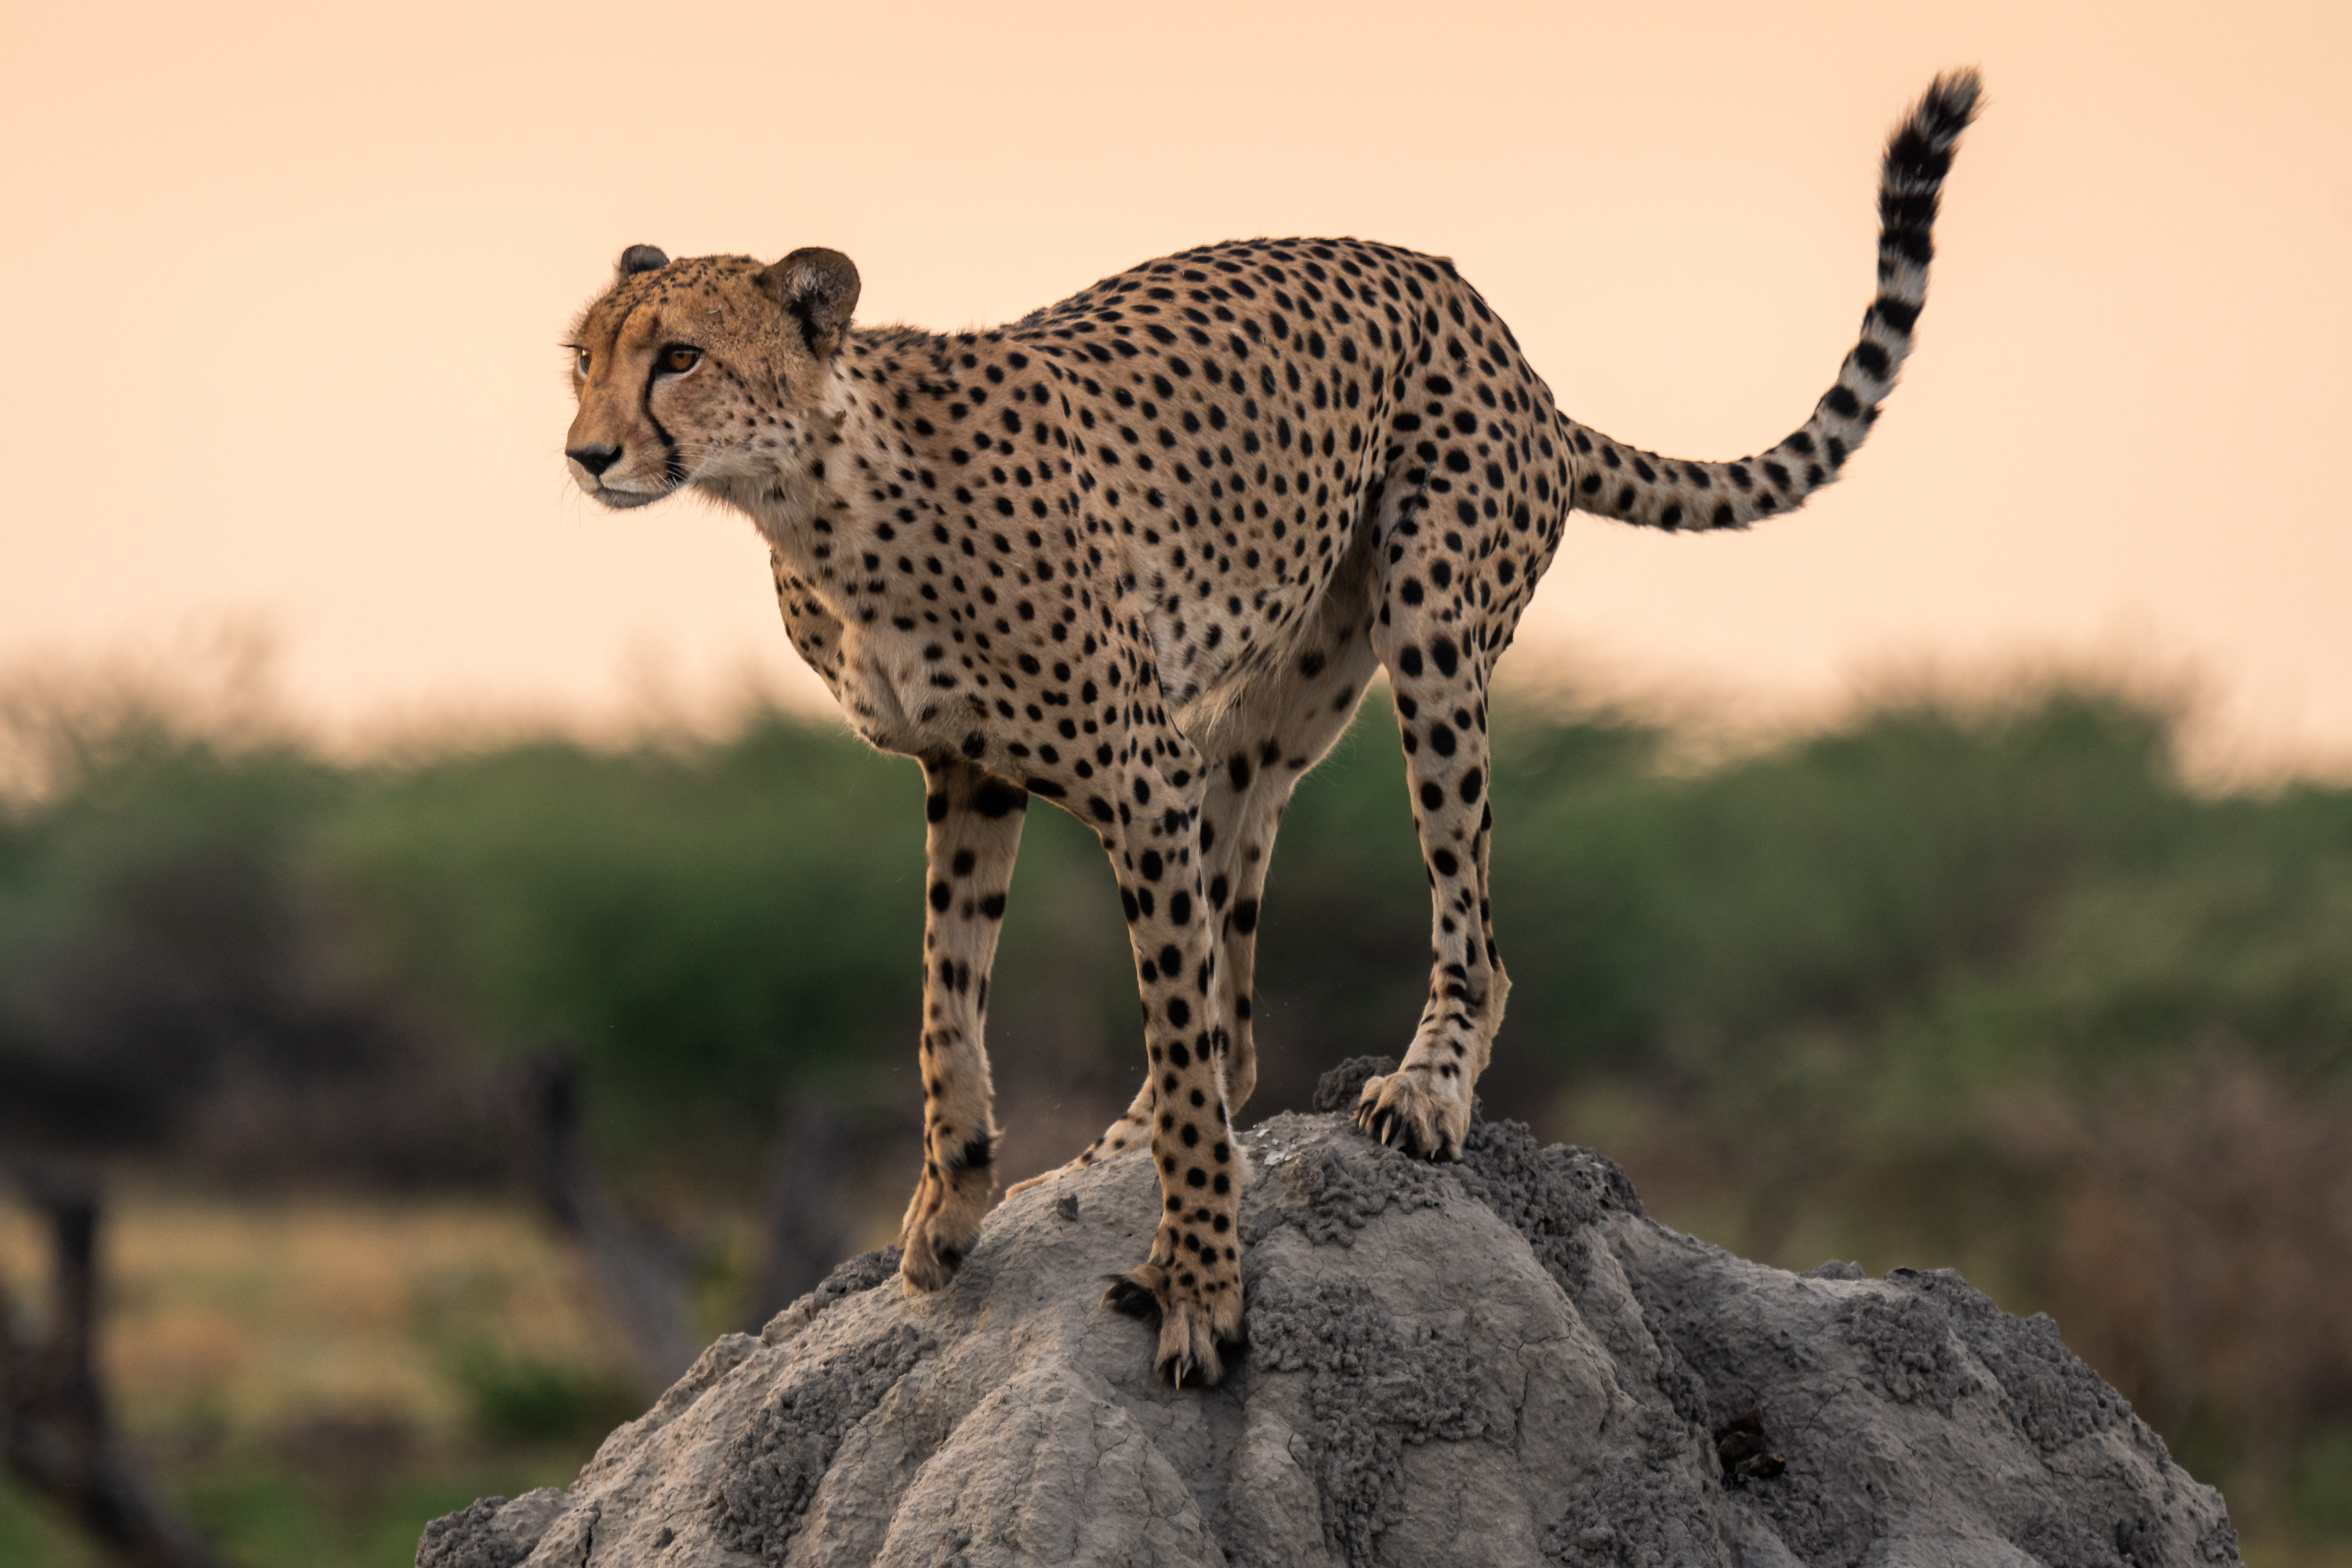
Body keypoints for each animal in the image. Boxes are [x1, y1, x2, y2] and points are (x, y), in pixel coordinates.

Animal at [560, 73, 1976, 1382]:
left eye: (679, 357)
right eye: (582, 356)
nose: (584, 454)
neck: (818, 493)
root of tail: (1498, 333)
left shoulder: (1132, 769)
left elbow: (1171, 1043)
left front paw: (1196, 1282)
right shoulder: (970, 771)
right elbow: (945, 1005)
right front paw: (952, 1210)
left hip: (1429, 626)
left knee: (1452, 934)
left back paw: (1425, 1090)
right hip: (1267, 710)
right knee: (1233, 1000)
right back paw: (1112, 1149)